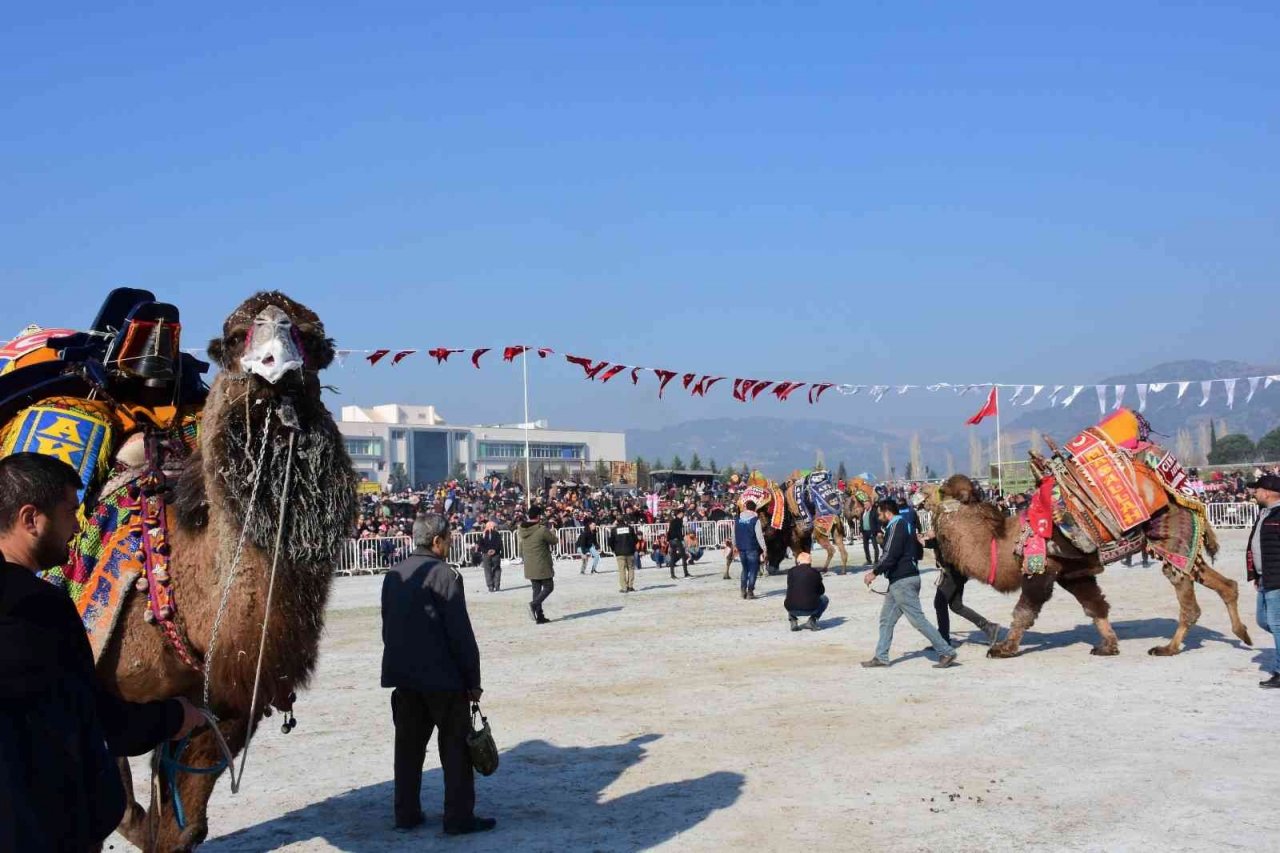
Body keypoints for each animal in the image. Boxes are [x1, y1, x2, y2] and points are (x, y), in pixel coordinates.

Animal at [926, 409, 1244, 653]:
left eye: (942, 491)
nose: (922, 496)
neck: (1004, 543)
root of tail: (1184, 490)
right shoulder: (1072, 572)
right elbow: (1095, 606)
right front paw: (1108, 645)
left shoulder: (1041, 569)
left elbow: (1024, 611)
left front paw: (1004, 648)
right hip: (1184, 542)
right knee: (1221, 582)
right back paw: (1242, 633)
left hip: (1171, 533)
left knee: (1186, 592)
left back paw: (1168, 648)